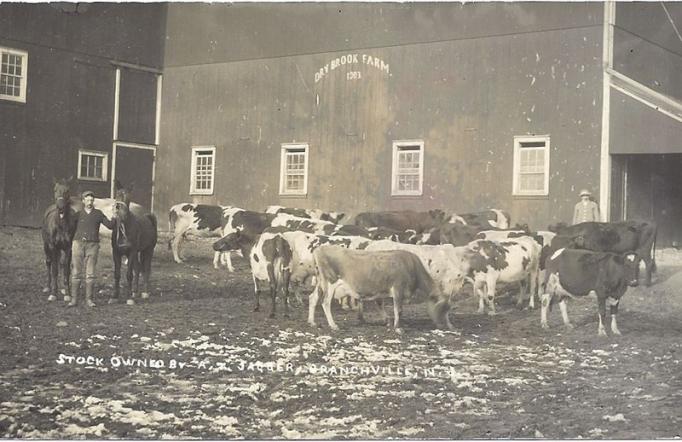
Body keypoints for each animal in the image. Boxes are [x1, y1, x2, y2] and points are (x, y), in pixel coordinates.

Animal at [306, 247, 446, 334]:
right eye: (442, 309)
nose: (446, 326)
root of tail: (319, 249)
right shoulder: (398, 288)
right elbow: (398, 310)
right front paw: (397, 328)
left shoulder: (382, 290)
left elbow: (380, 304)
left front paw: (387, 321)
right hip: (330, 282)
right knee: (325, 302)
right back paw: (333, 325)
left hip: (320, 283)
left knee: (312, 298)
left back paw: (312, 322)